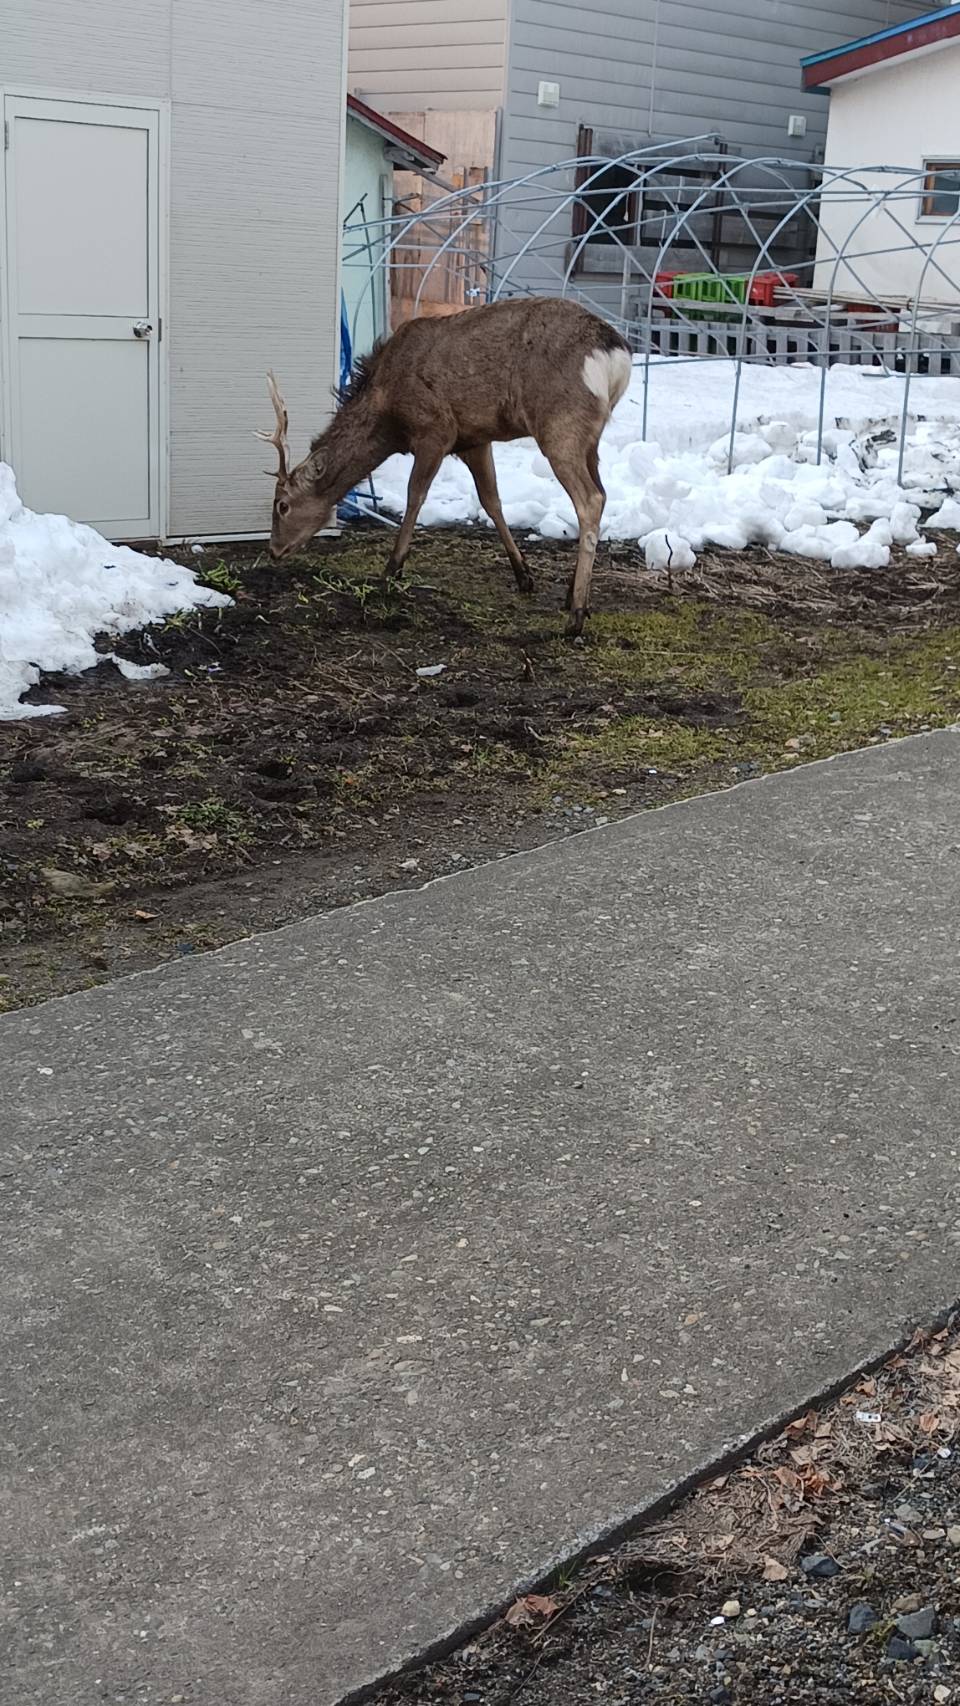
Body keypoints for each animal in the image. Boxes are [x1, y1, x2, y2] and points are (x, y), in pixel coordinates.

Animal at [257, 297, 632, 636]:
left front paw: (392, 569)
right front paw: (523, 575)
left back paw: (576, 615)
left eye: (282, 505)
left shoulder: (436, 428)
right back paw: (573, 596)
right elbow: (491, 501)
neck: (388, 414)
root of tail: (617, 357)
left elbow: (415, 496)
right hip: (590, 437)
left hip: (560, 423)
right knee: (601, 494)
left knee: (590, 499)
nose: (274, 550)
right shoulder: (474, 440)